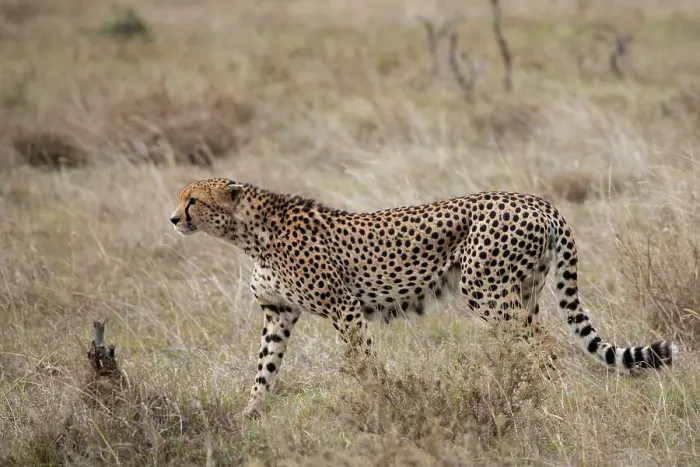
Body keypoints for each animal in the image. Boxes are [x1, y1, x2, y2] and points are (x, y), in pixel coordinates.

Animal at [169, 178, 676, 418]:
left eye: (193, 200)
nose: (174, 219)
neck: (249, 233)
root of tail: (538, 201)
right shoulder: (278, 314)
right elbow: (265, 369)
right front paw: (250, 413)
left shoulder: (344, 308)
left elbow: (365, 363)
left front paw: (381, 404)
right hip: (522, 291)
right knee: (533, 340)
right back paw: (525, 390)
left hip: (485, 289)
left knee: (545, 344)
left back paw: (546, 396)